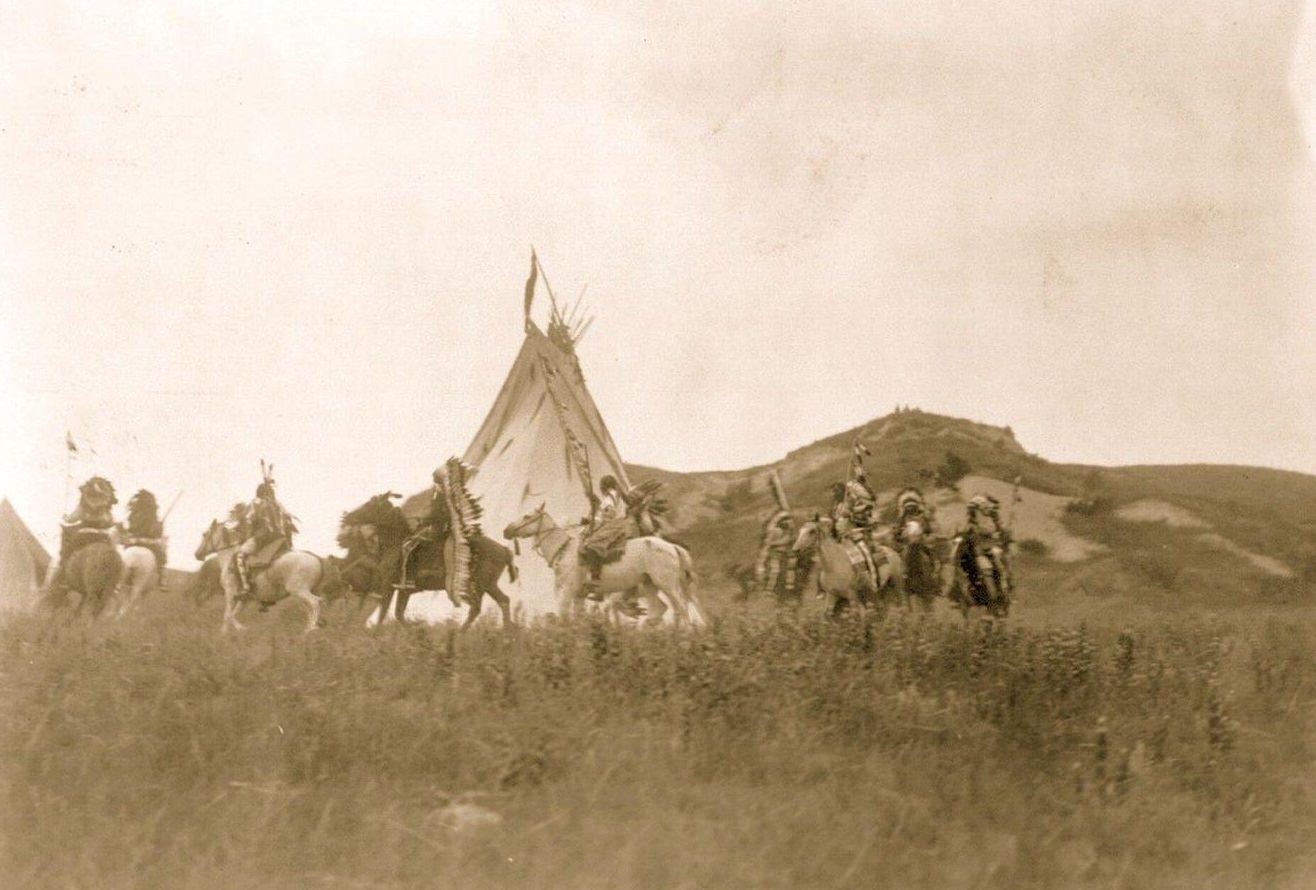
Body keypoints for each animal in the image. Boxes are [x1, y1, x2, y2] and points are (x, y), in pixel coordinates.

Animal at [193, 513, 342, 631]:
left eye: (204, 534)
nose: (197, 554)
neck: (229, 557)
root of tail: (315, 558)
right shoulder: (244, 599)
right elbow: (232, 615)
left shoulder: (230, 594)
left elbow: (227, 616)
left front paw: (234, 632)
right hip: (306, 592)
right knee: (313, 607)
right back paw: (312, 628)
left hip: (299, 590)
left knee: (314, 603)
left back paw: (309, 631)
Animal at [336, 489, 515, 629]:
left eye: (370, 504)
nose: (346, 517)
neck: (395, 545)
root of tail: (504, 549)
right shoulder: (403, 590)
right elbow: (398, 615)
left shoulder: (388, 586)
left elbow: (383, 615)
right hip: (488, 586)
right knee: (502, 601)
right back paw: (507, 634)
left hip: (479, 585)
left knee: (477, 607)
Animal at [502, 502, 710, 629]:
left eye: (527, 516)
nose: (507, 530)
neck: (564, 550)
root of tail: (672, 547)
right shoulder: (579, 596)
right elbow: (577, 619)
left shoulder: (566, 593)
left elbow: (564, 617)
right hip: (650, 585)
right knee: (661, 610)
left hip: (667, 585)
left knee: (682, 609)